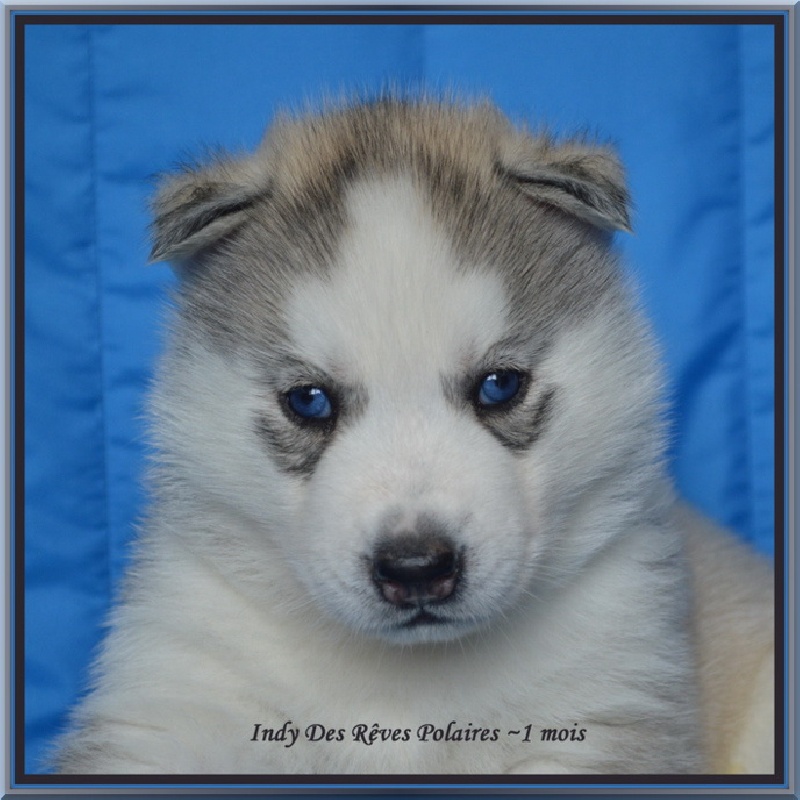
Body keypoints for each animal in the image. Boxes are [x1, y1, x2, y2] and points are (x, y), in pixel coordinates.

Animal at [53, 97, 774, 776]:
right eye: (309, 401)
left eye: (499, 386)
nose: (417, 568)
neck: (408, 682)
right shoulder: (176, 696)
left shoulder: (603, 704)